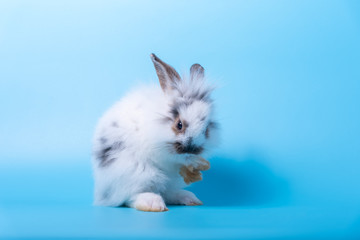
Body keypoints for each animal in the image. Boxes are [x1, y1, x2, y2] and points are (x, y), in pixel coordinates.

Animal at [91, 53, 218, 211]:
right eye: (179, 125)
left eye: (206, 129)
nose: (192, 149)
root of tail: (101, 194)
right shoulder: (160, 152)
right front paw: (194, 162)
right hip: (138, 174)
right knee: (129, 197)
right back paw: (153, 203)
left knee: (167, 192)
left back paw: (189, 198)